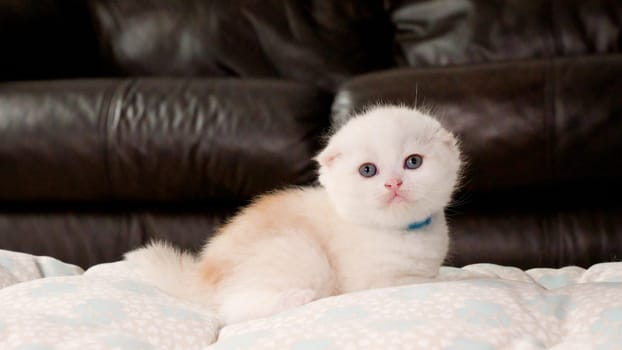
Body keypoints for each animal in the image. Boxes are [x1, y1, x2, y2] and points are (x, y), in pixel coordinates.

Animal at [125, 105, 464, 326]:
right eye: (367, 170)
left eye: (413, 162)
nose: (393, 183)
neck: (401, 231)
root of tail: (203, 273)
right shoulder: (374, 281)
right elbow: (418, 283)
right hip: (299, 253)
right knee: (233, 311)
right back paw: (296, 299)